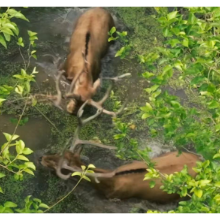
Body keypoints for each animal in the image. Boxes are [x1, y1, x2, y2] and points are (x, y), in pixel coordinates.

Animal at [39, 100, 201, 204]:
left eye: (59, 167)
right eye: (59, 154)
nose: (42, 158)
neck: (109, 183)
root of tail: (201, 161)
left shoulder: (115, 197)